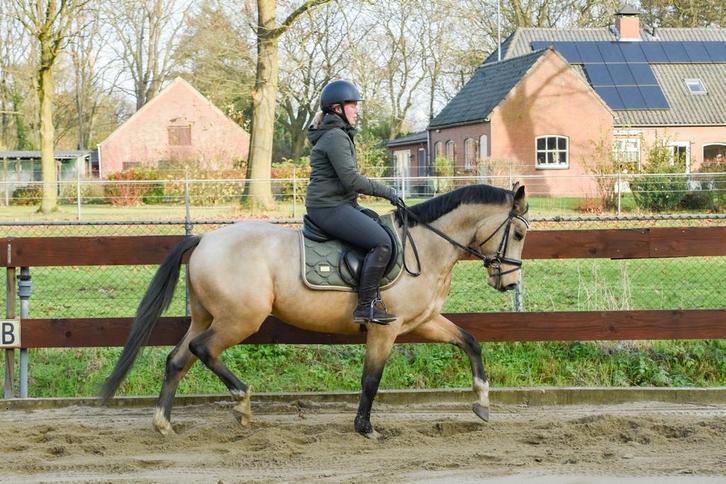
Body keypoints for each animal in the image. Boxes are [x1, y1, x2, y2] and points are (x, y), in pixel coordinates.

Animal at [101, 182, 529, 439]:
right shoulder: (385, 330)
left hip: (208, 316)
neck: (425, 246)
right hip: (240, 319)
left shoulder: (423, 322)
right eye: (520, 232)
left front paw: (482, 403)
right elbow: (371, 379)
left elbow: (470, 342)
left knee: (177, 359)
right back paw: (242, 401)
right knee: (203, 349)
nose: (508, 283)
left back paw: (164, 423)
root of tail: (205, 239)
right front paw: (365, 428)